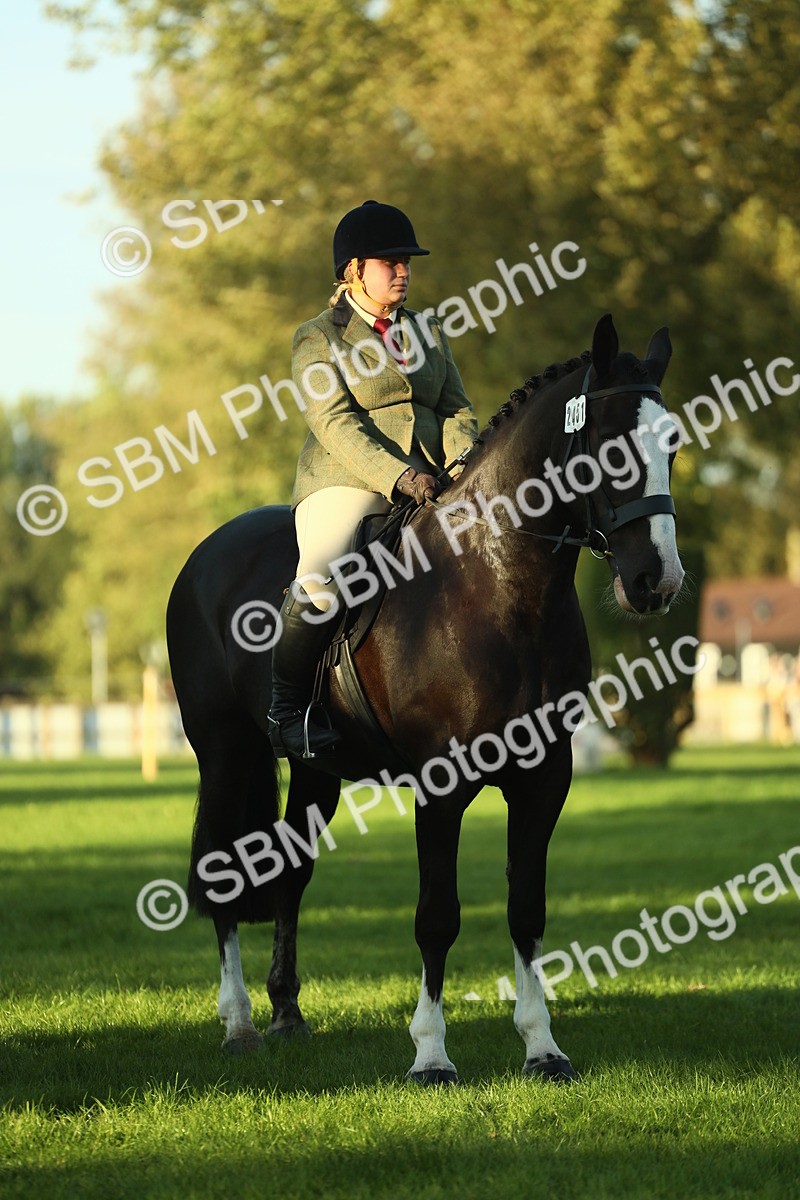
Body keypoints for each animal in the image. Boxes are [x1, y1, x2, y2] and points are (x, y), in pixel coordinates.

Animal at [166, 312, 683, 1084]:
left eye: (672, 441)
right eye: (609, 444)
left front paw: (542, 1047)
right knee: (225, 875)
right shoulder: (441, 785)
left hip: (315, 770)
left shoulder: (545, 779)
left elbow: (527, 909)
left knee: (290, 874)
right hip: (225, 755)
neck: (499, 583)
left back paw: (287, 1013)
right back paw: (239, 1025)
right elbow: (437, 915)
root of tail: (208, 551)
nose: (656, 581)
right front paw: (431, 1055)